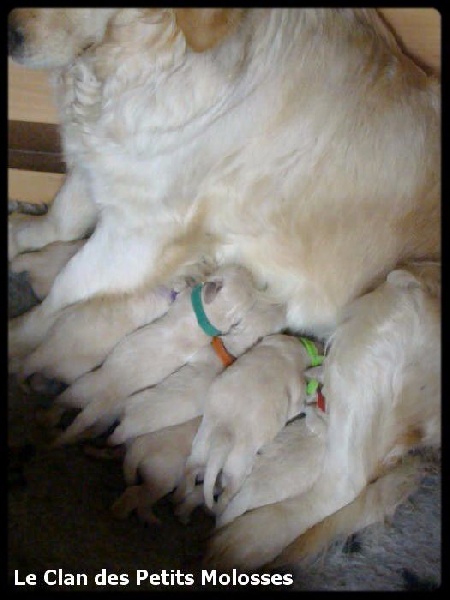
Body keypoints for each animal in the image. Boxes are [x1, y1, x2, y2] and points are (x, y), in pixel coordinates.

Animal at [8, 9, 440, 569]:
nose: (12, 36)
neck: (145, 61)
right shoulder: (102, 171)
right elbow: (57, 221)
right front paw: (21, 236)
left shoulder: (144, 229)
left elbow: (65, 291)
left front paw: (19, 337)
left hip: (390, 312)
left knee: (341, 483)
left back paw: (242, 536)